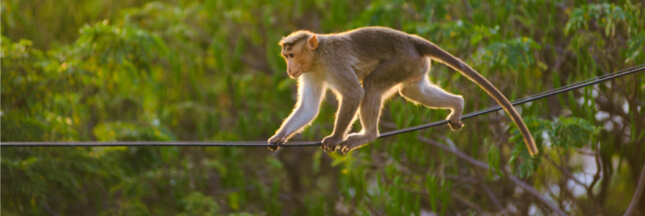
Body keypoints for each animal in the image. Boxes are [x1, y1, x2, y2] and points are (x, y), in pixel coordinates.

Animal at [266, 26, 540, 157]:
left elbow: (354, 93)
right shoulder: (310, 72)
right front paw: (279, 137)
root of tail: (411, 40)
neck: (317, 56)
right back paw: (458, 104)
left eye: (291, 55)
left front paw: (334, 137)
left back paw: (368, 135)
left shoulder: (333, 62)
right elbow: (309, 108)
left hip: (401, 61)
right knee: (412, 91)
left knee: (372, 85)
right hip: (414, 66)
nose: (289, 69)